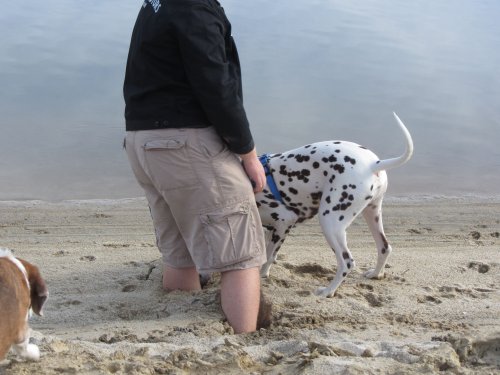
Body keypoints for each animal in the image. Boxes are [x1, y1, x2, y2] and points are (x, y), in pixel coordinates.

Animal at [256, 113, 412, 298]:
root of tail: (373, 164)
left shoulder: (284, 221)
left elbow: (268, 256)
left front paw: (261, 275)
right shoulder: (273, 229)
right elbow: (270, 254)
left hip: (330, 222)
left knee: (347, 262)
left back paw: (328, 291)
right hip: (372, 214)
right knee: (384, 248)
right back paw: (375, 274)